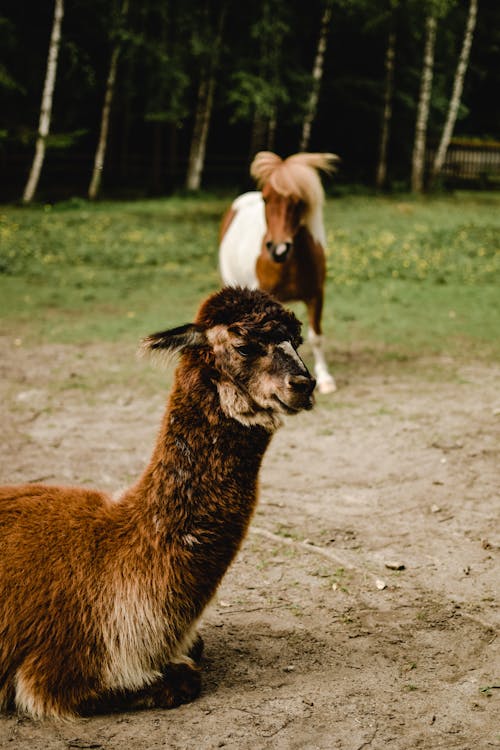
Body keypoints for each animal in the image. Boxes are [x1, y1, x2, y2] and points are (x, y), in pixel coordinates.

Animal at [220, 148, 340, 394]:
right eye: (266, 199)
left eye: (298, 201)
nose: (278, 249)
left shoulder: (316, 295)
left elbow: (316, 337)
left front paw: (325, 379)